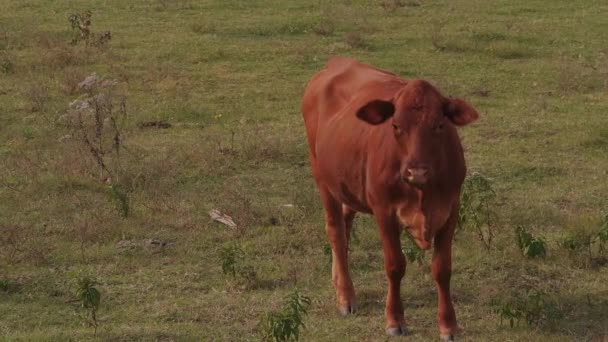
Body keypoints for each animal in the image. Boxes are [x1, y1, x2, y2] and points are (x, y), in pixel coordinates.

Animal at [302, 57, 478, 340]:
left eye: (439, 125)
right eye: (396, 126)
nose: (417, 171)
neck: (422, 193)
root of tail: (339, 61)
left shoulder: (450, 209)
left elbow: (442, 269)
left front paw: (448, 324)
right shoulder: (384, 211)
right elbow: (395, 266)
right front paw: (394, 319)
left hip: (347, 184)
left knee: (345, 224)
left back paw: (338, 279)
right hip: (322, 177)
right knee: (335, 231)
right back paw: (346, 296)